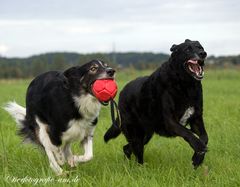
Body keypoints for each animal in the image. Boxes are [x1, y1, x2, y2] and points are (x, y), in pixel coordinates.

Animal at [104, 39, 208, 168]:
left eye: (200, 47)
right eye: (188, 49)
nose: (203, 53)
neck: (186, 85)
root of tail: (121, 93)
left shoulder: (196, 118)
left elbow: (205, 137)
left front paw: (197, 159)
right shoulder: (171, 121)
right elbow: (188, 133)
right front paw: (199, 148)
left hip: (145, 134)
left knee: (127, 148)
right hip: (136, 134)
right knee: (137, 153)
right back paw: (139, 168)